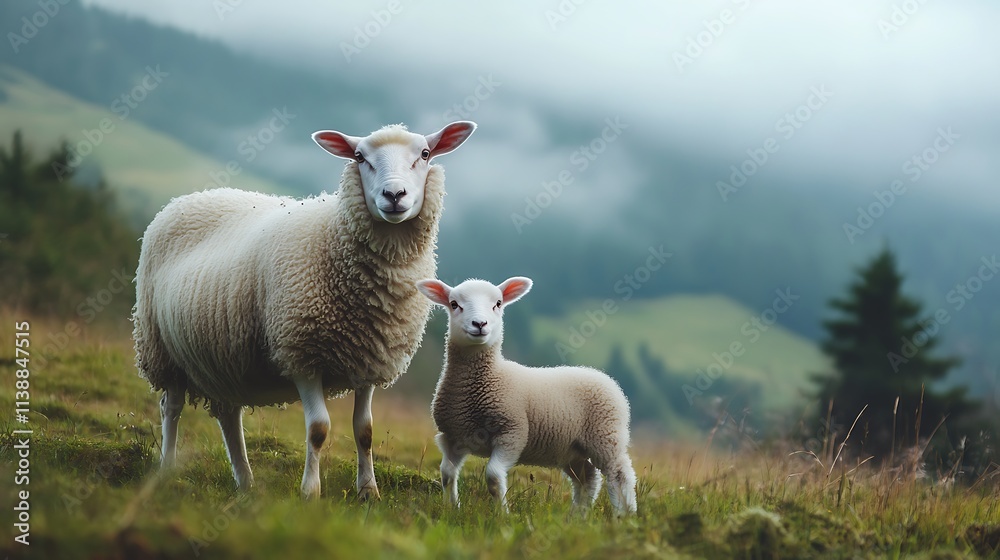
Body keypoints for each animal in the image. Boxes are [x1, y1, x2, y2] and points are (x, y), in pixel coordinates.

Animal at [132, 120, 476, 500]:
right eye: (360, 157)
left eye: (425, 154)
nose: (394, 195)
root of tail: (190, 197)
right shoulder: (303, 353)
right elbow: (319, 429)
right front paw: (310, 492)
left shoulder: (370, 359)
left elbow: (365, 431)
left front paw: (368, 491)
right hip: (161, 348)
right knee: (172, 407)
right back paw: (167, 470)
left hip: (224, 356)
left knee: (228, 415)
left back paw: (246, 482)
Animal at [416, 276, 638, 514]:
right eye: (454, 304)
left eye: (498, 303)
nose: (480, 324)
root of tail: (608, 380)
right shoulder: (452, 437)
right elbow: (447, 473)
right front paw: (452, 508)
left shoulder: (512, 434)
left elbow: (493, 476)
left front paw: (502, 514)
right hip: (571, 449)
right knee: (587, 478)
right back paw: (578, 516)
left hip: (606, 437)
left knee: (619, 474)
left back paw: (625, 514)